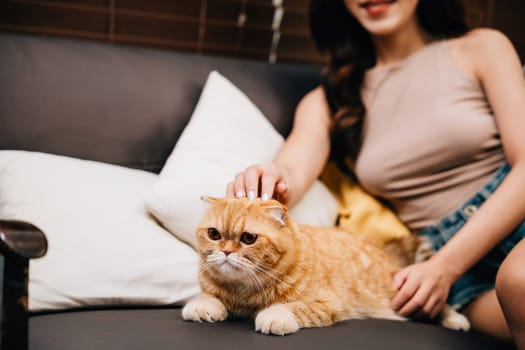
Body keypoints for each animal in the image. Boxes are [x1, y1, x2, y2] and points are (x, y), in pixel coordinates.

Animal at [182, 198, 468, 334]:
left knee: (441, 303)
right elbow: (207, 297)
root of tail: (384, 248)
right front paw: (203, 306)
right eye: (214, 234)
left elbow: (292, 308)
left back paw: (456, 319)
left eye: (248, 238)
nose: (226, 251)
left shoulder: (327, 303)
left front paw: (274, 316)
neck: (243, 293)